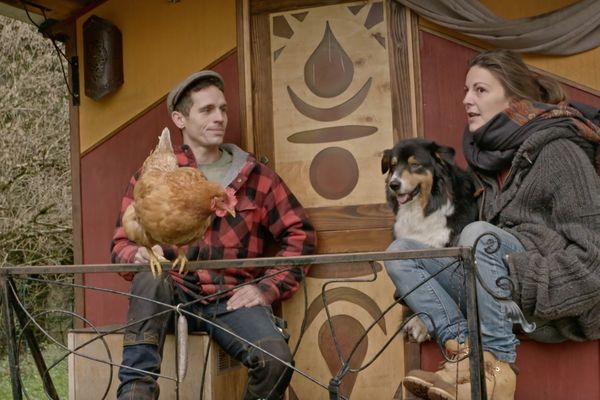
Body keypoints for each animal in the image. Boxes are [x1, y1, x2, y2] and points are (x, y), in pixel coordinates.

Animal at [380, 138, 478, 340]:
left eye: (415, 164)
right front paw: (417, 321)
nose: (394, 184)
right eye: (393, 166)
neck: (422, 211)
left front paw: (421, 325)